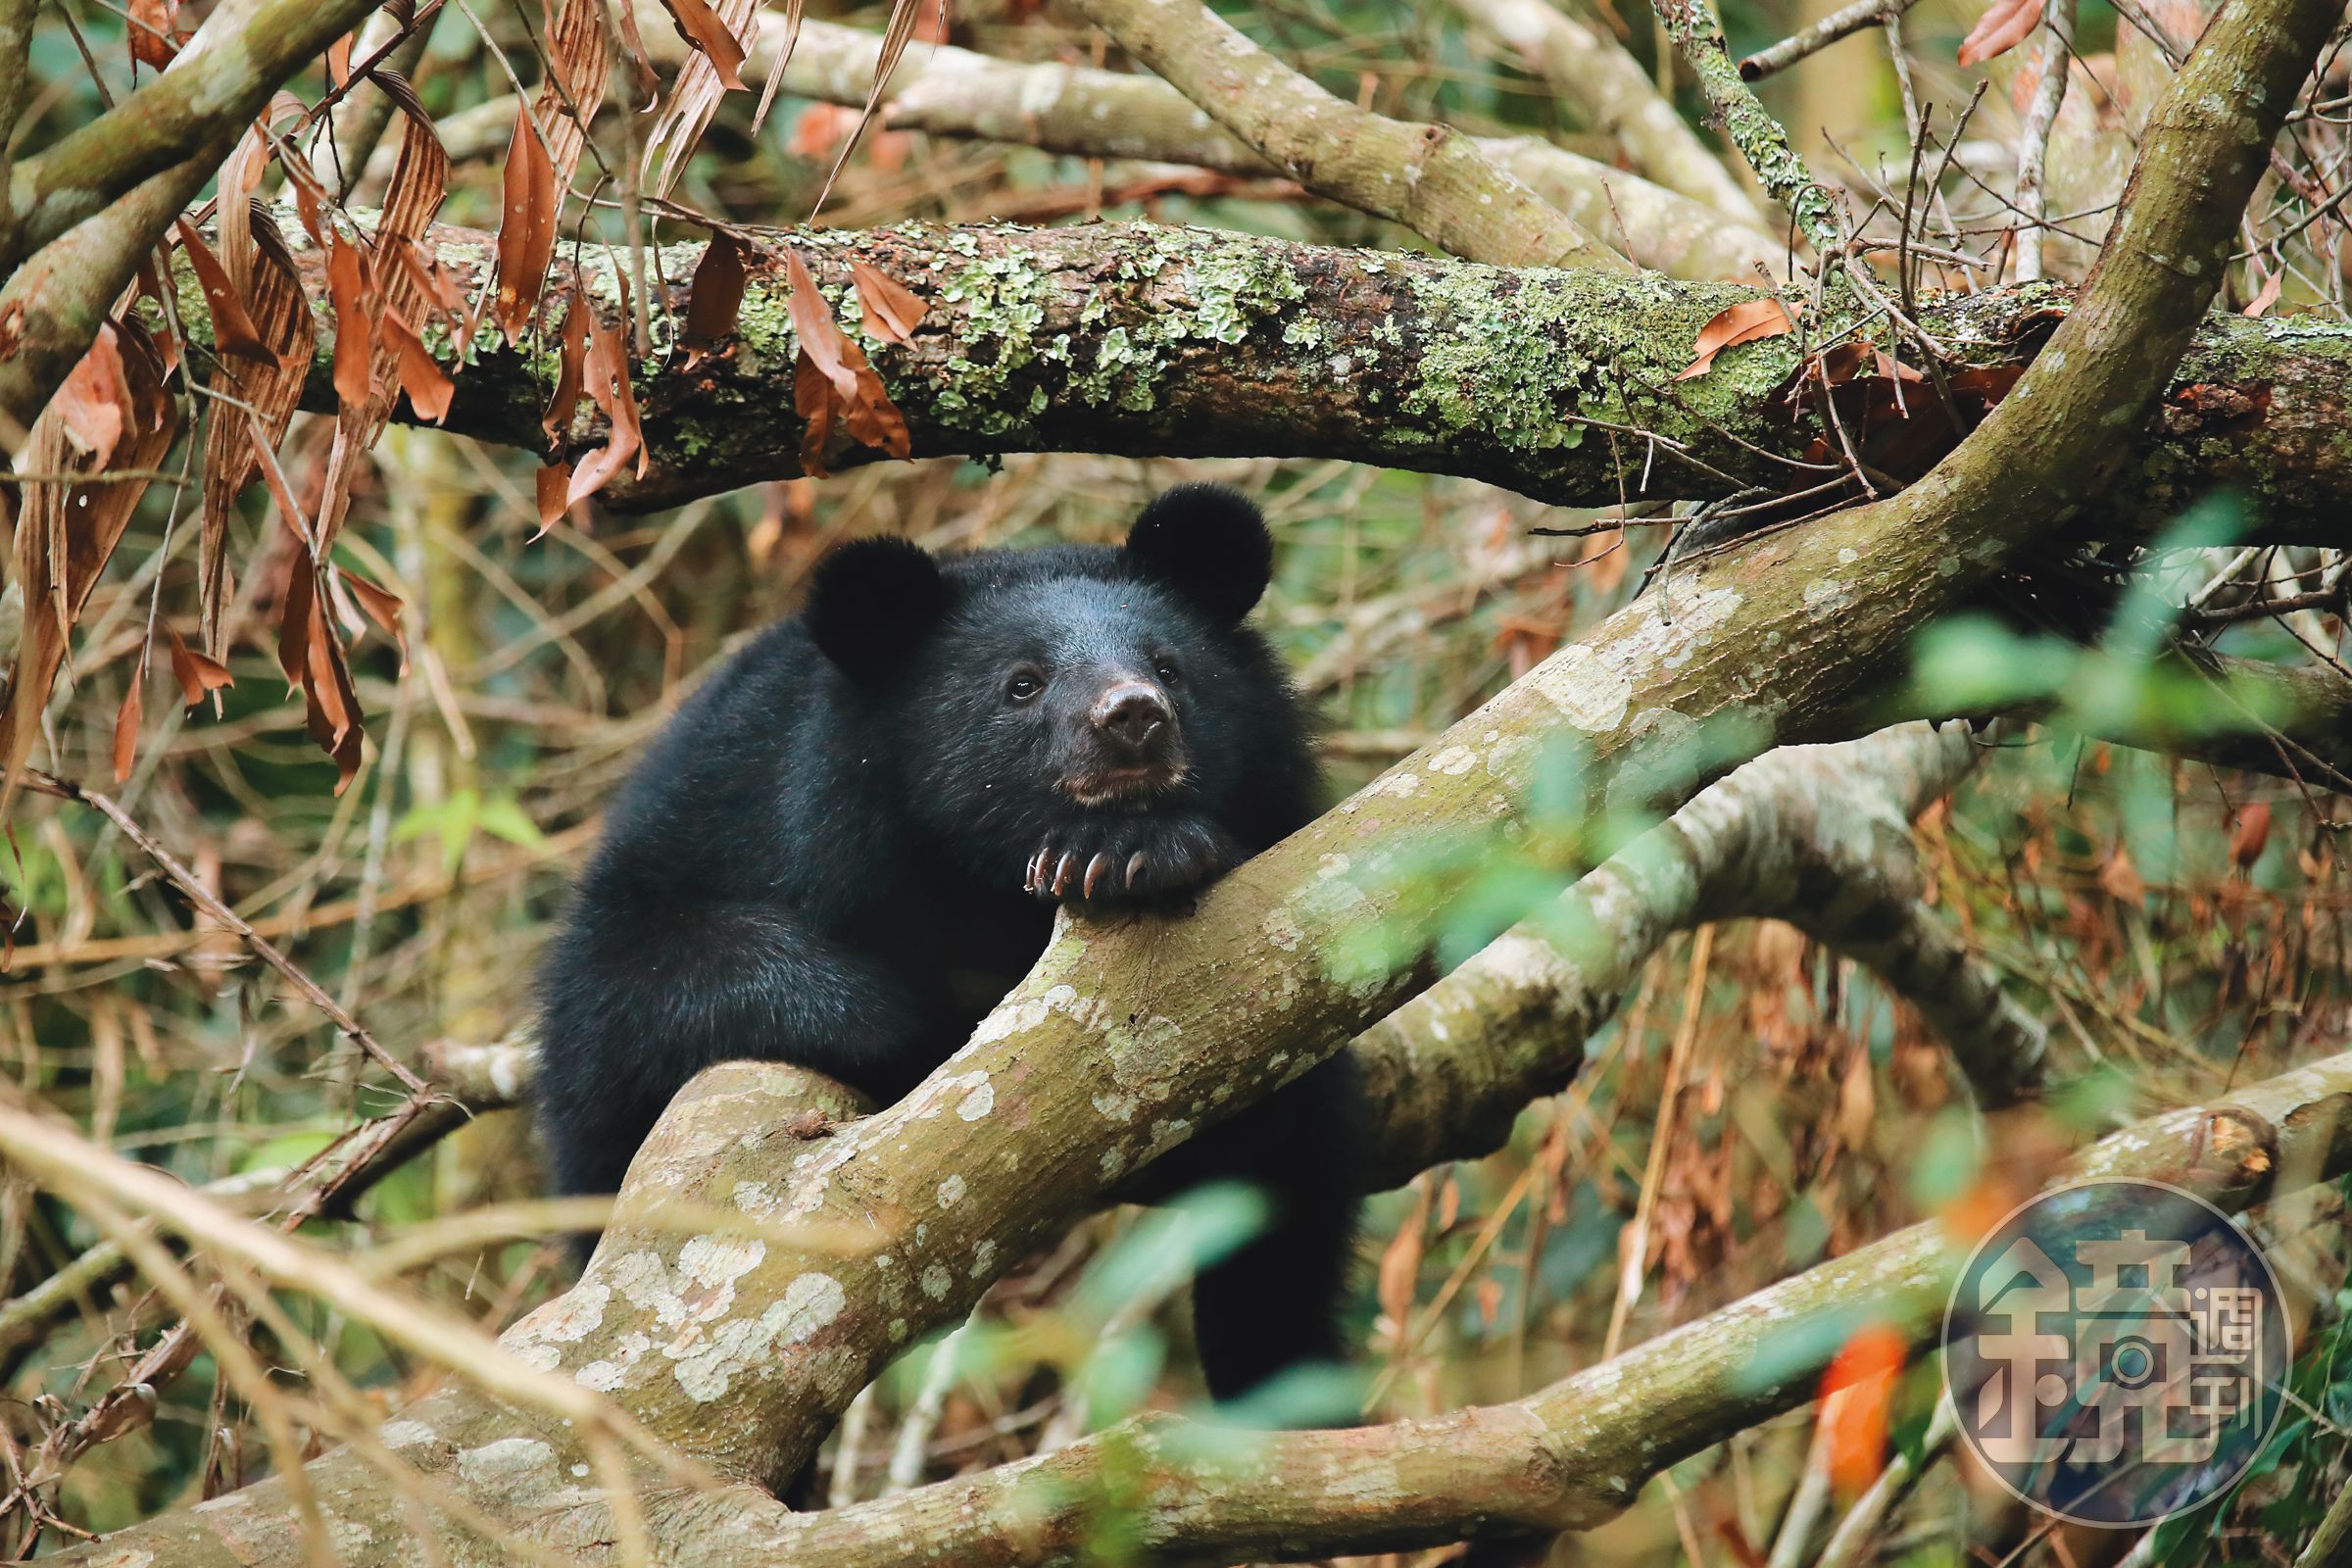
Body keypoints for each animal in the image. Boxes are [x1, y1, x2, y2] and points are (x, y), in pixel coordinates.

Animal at [535, 483, 1365, 1406]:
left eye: (1170, 665)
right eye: (1022, 685)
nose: (1133, 717)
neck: (982, 885)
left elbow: (1268, 1114)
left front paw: (1131, 856)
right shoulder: (727, 815)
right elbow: (630, 993)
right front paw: (902, 1022)